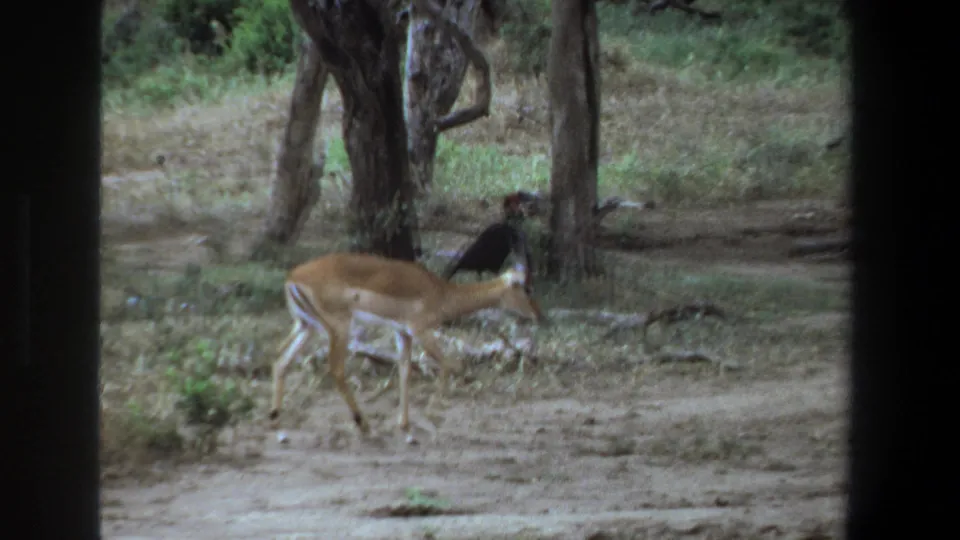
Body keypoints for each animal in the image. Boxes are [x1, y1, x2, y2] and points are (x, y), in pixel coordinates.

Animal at [270, 252, 543, 434]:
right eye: (527, 288)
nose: (538, 314)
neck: (442, 292)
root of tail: (293, 277)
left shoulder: (403, 333)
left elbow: (404, 371)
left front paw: (404, 423)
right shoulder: (420, 330)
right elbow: (448, 365)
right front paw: (432, 415)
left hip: (306, 327)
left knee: (280, 359)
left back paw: (275, 416)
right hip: (339, 328)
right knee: (335, 370)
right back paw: (362, 422)